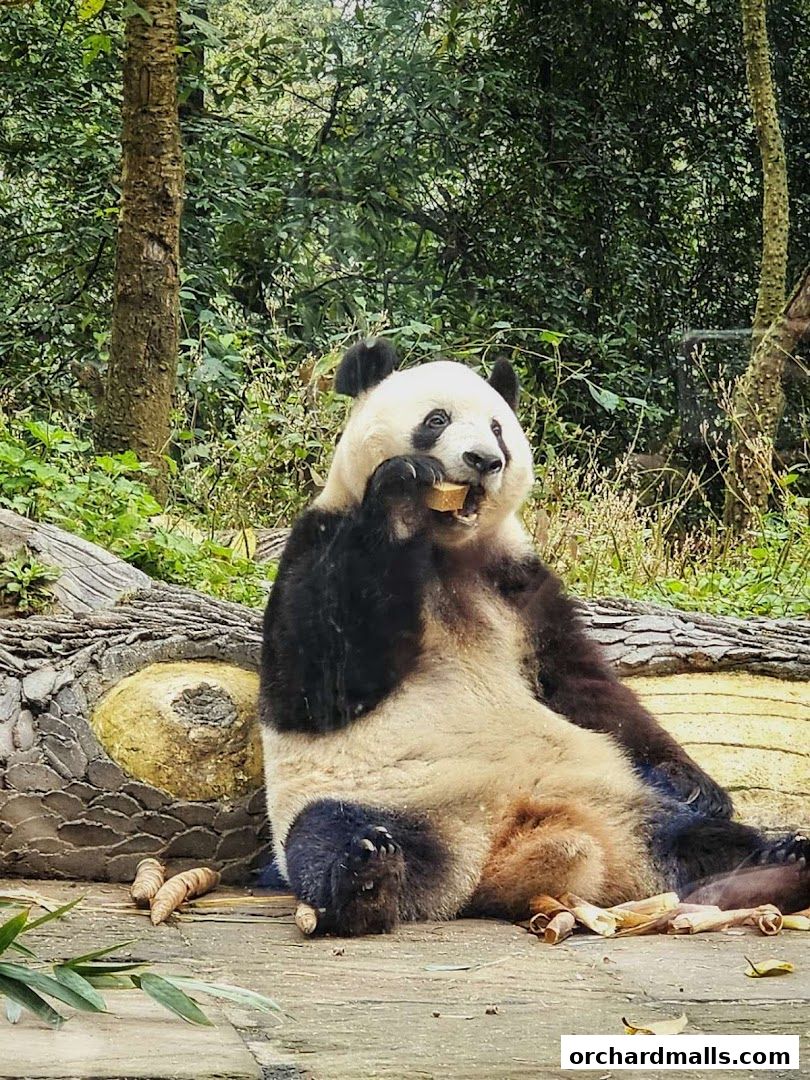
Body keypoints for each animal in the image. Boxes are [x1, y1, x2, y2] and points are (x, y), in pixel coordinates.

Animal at [259, 339, 809, 935]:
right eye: (436, 420)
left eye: (498, 429)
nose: (485, 461)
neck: (446, 551)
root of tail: (514, 835)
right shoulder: (321, 540)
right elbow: (318, 683)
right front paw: (403, 487)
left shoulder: (521, 586)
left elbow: (585, 685)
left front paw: (694, 782)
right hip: (386, 798)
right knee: (324, 833)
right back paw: (369, 871)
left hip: (625, 798)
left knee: (699, 840)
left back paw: (780, 860)